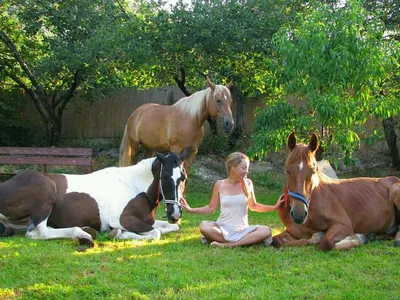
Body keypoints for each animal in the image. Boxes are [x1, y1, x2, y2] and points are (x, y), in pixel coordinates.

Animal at [0, 150, 188, 246]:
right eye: (165, 176)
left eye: (183, 177)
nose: (175, 214)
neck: (134, 184)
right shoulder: (122, 219)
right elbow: (155, 233)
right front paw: (119, 234)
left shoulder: (147, 220)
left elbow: (172, 227)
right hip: (46, 193)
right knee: (37, 232)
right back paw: (83, 235)